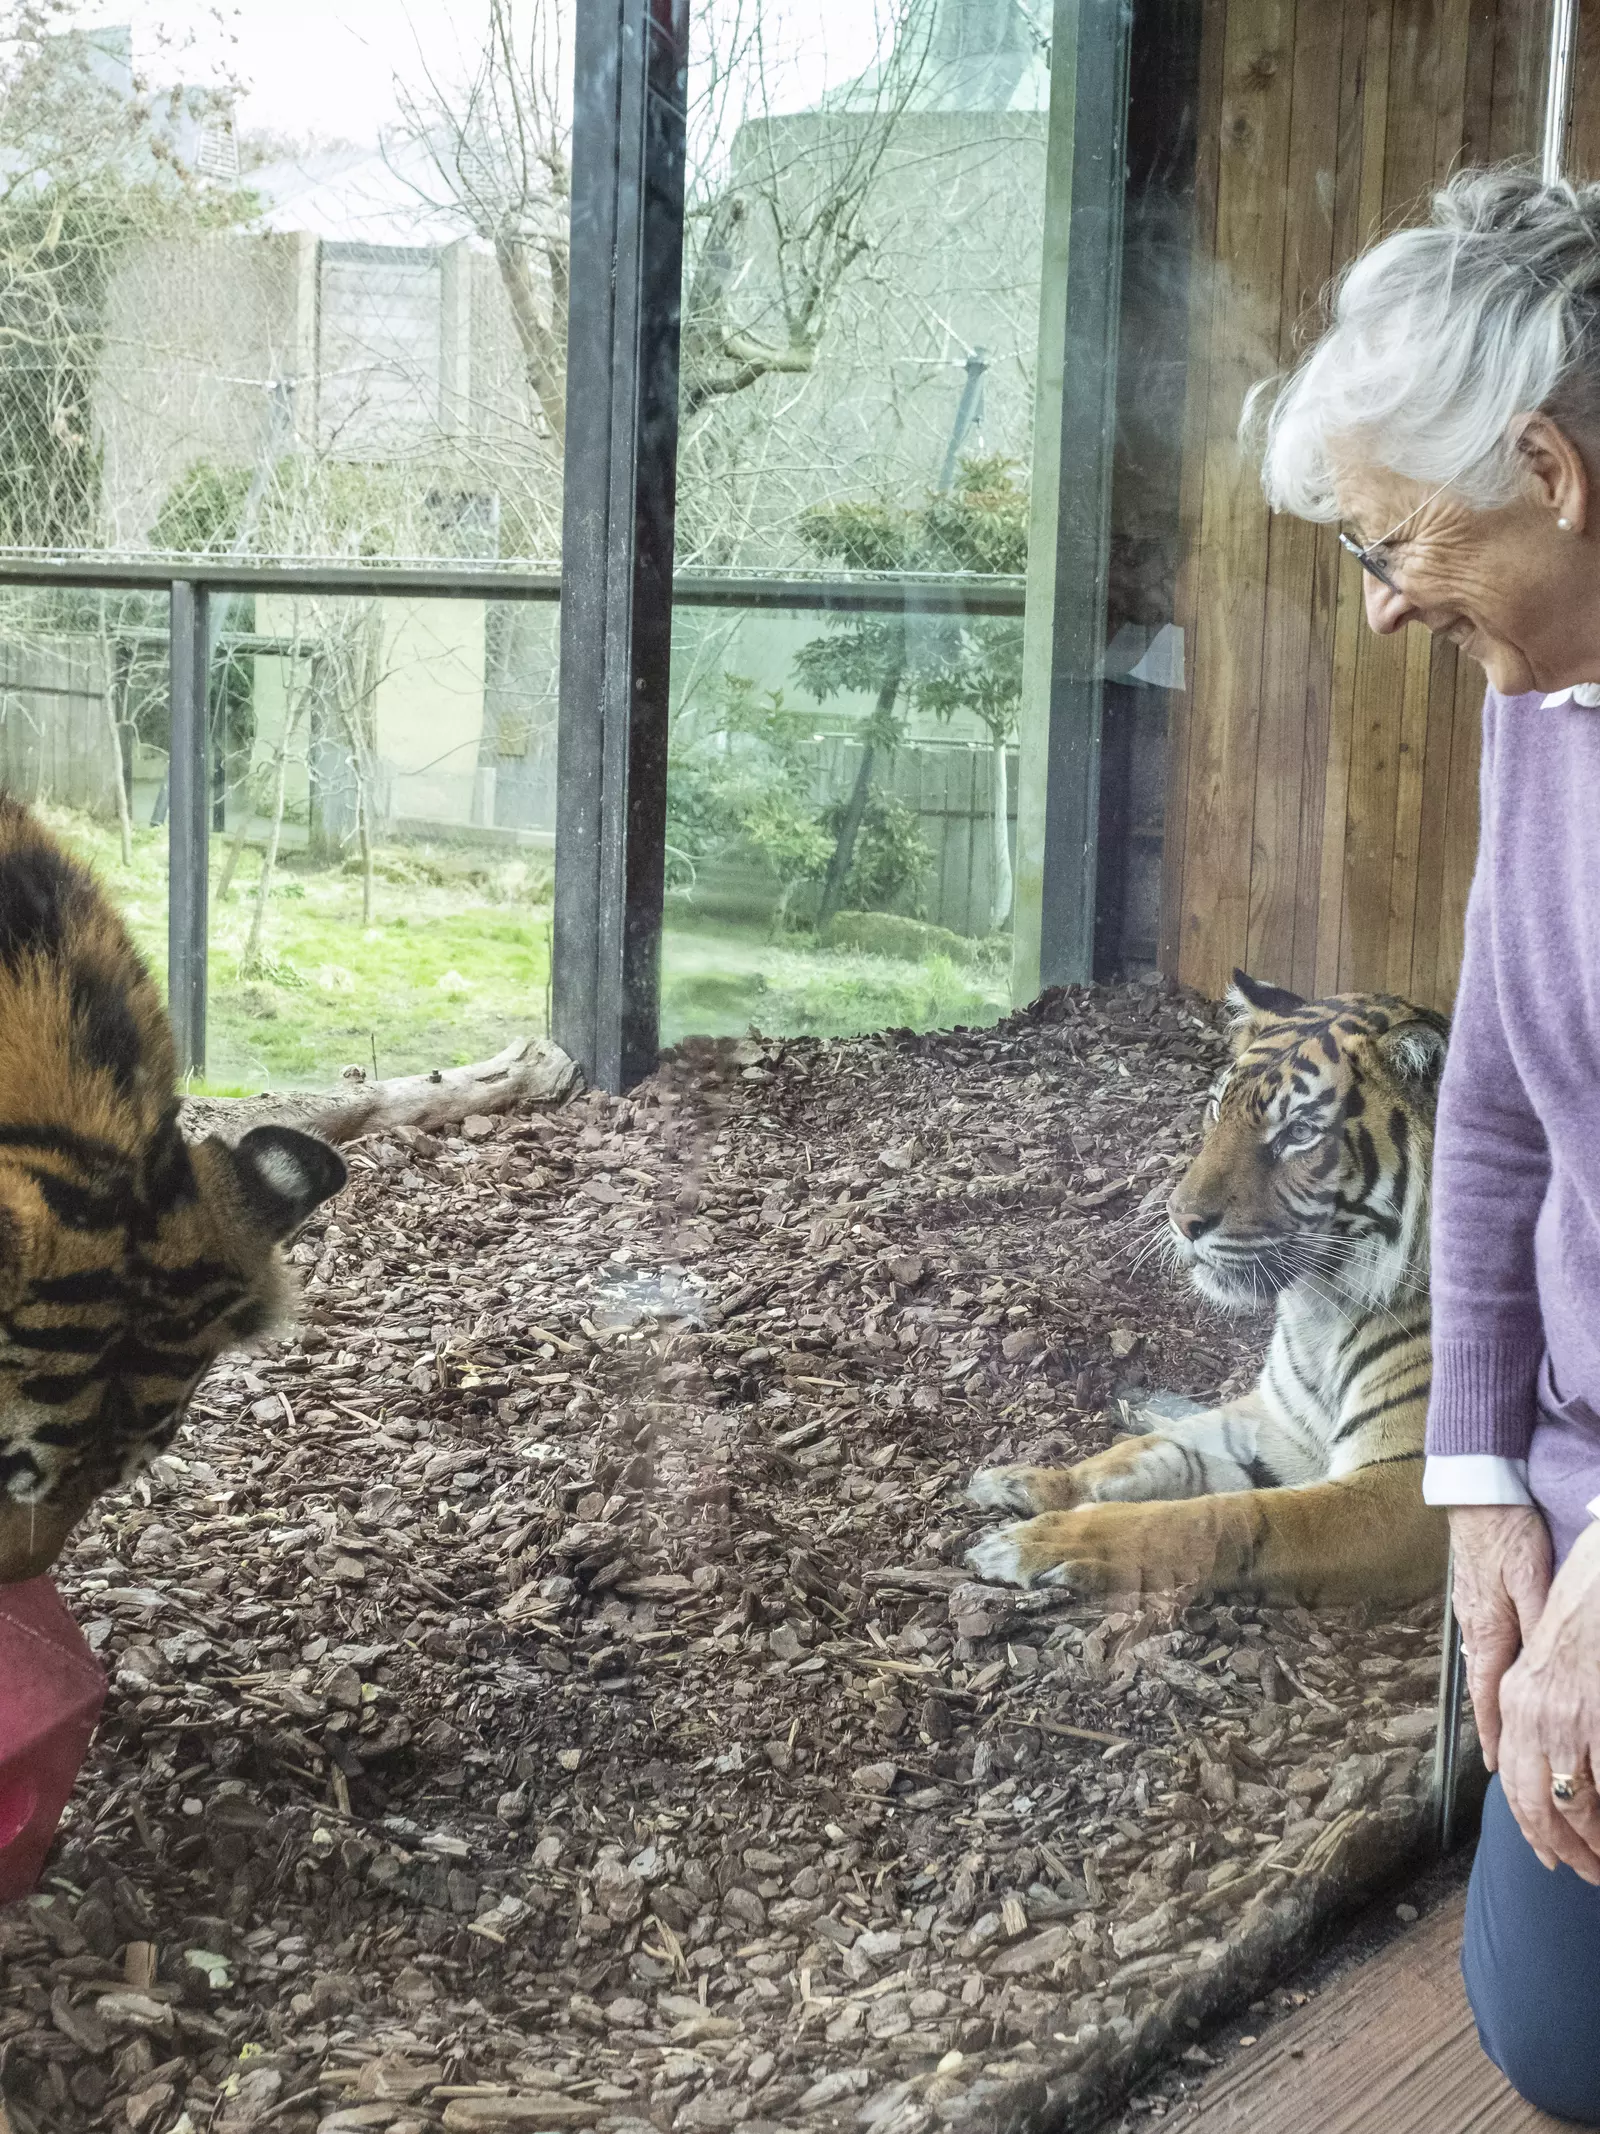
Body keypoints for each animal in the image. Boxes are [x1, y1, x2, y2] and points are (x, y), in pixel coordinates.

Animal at [972, 973, 1459, 1604]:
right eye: (1215, 1109)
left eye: (1300, 1133)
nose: (1180, 1219)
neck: (1322, 1311)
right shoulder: (1277, 1423)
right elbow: (1150, 1451)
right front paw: (1033, 1481)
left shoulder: (1405, 1490)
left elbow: (1219, 1516)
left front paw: (1041, 1541)